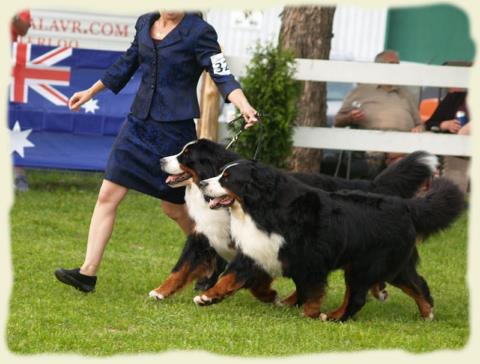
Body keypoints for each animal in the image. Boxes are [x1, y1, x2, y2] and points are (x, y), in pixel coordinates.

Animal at [150, 139, 438, 304]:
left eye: (186, 156)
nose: (161, 160)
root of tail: (368, 184)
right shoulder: (204, 236)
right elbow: (180, 269)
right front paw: (161, 291)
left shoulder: (258, 243)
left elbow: (250, 276)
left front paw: (267, 294)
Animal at [193, 160, 464, 322]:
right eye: (220, 173)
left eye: (226, 177)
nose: (203, 183)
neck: (261, 208)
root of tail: (406, 206)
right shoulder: (257, 250)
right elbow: (232, 278)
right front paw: (208, 297)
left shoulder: (311, 259)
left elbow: (312, 289)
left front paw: (309, 313)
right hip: (395, 265)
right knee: (418, 284)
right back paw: (427, 312)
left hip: (366, 265)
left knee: (356, 297)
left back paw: (334, 316)